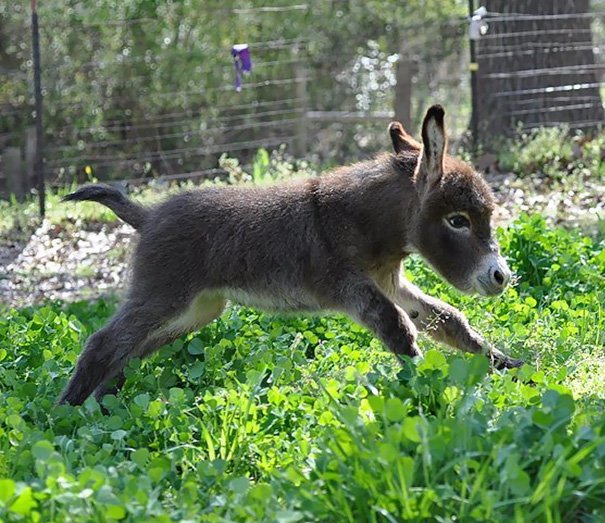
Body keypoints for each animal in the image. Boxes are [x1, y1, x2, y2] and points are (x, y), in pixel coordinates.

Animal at [60, 106, 524, 408]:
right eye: (458, 221)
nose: (501, 277)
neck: (362, 222)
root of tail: (148, 215)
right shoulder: (353, 288)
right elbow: (399, 329)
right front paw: (428, 386)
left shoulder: (390, 281)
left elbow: (448, 320)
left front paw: (506, 365)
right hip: (164, 296)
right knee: (104, 342)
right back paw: (62, 415)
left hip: (197, 310)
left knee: (131, 349)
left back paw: (101, 404)